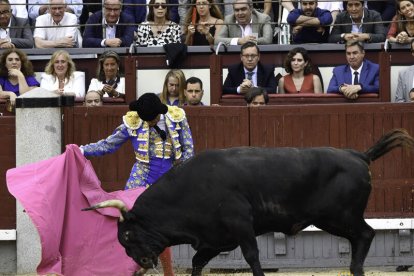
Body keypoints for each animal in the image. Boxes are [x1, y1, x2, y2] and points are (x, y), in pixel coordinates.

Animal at [82, 129, 414, 276]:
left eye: (127, 235)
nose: (141, 263)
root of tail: (359, 155)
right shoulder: (213, 239)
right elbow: (196, 262)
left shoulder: (241, 225)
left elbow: (253, 257)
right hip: (336, 219)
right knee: (362, 237)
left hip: (339, 217)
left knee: (366, 234)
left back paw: (356, 269)